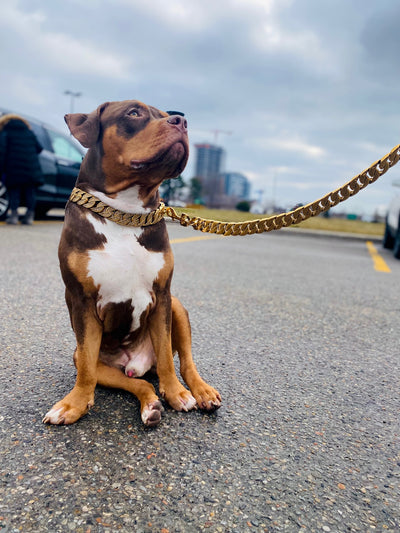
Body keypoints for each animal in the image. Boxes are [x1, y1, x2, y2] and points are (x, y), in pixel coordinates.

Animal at [43, 98, 222, 424]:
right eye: (133, 113)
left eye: (167, 115)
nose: (181, 122)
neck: (125, 212)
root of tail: (135, 363)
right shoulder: (82, 301)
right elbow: (86, 368)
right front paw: (74, 404)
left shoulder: (162, 296)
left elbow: (167, 358)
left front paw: (175, 392)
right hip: (101, 363)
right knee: (134, 381)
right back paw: (150, 405)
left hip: (177, 306)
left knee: (183, 361)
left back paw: (199, 390)